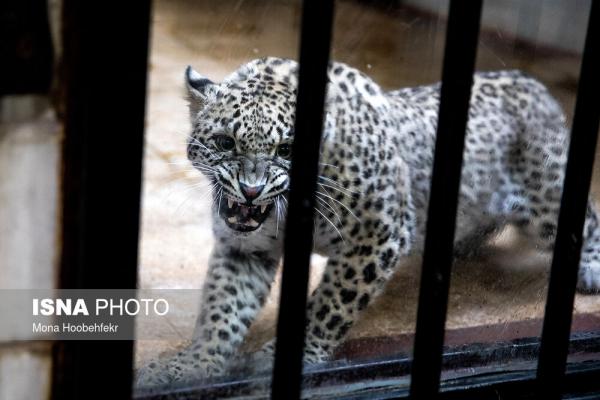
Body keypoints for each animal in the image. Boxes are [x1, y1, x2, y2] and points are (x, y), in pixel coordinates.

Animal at [136, 56, 600, 388]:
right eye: (224, 142)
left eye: (286, 150)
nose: (251, 190)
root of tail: (531, 82)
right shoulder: (245, 248)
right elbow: (223, 309)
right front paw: (192, 366)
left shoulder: (378, 237)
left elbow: (328, 306)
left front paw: (280, 361)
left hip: (545, 195)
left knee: (583, 218)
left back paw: (591, 269)